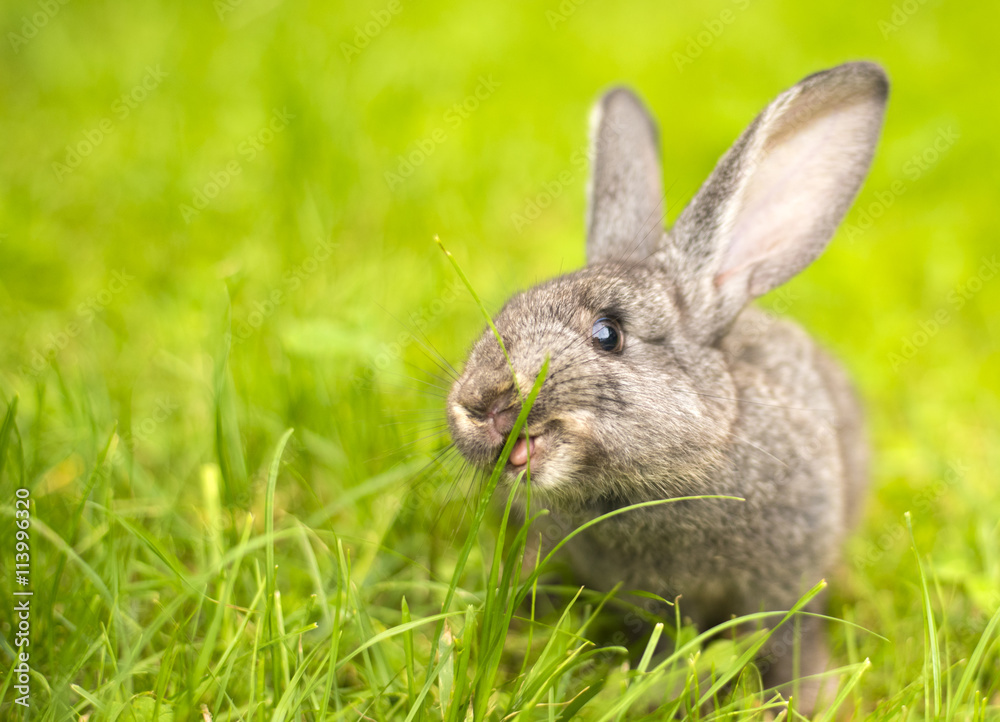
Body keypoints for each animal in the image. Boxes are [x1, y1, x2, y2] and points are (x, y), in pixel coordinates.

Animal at [446, 61, 887, 712]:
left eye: (608, 334)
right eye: (504, 310)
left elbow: (787, 641)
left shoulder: (787, 579)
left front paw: (804, 702)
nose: (480, 403)